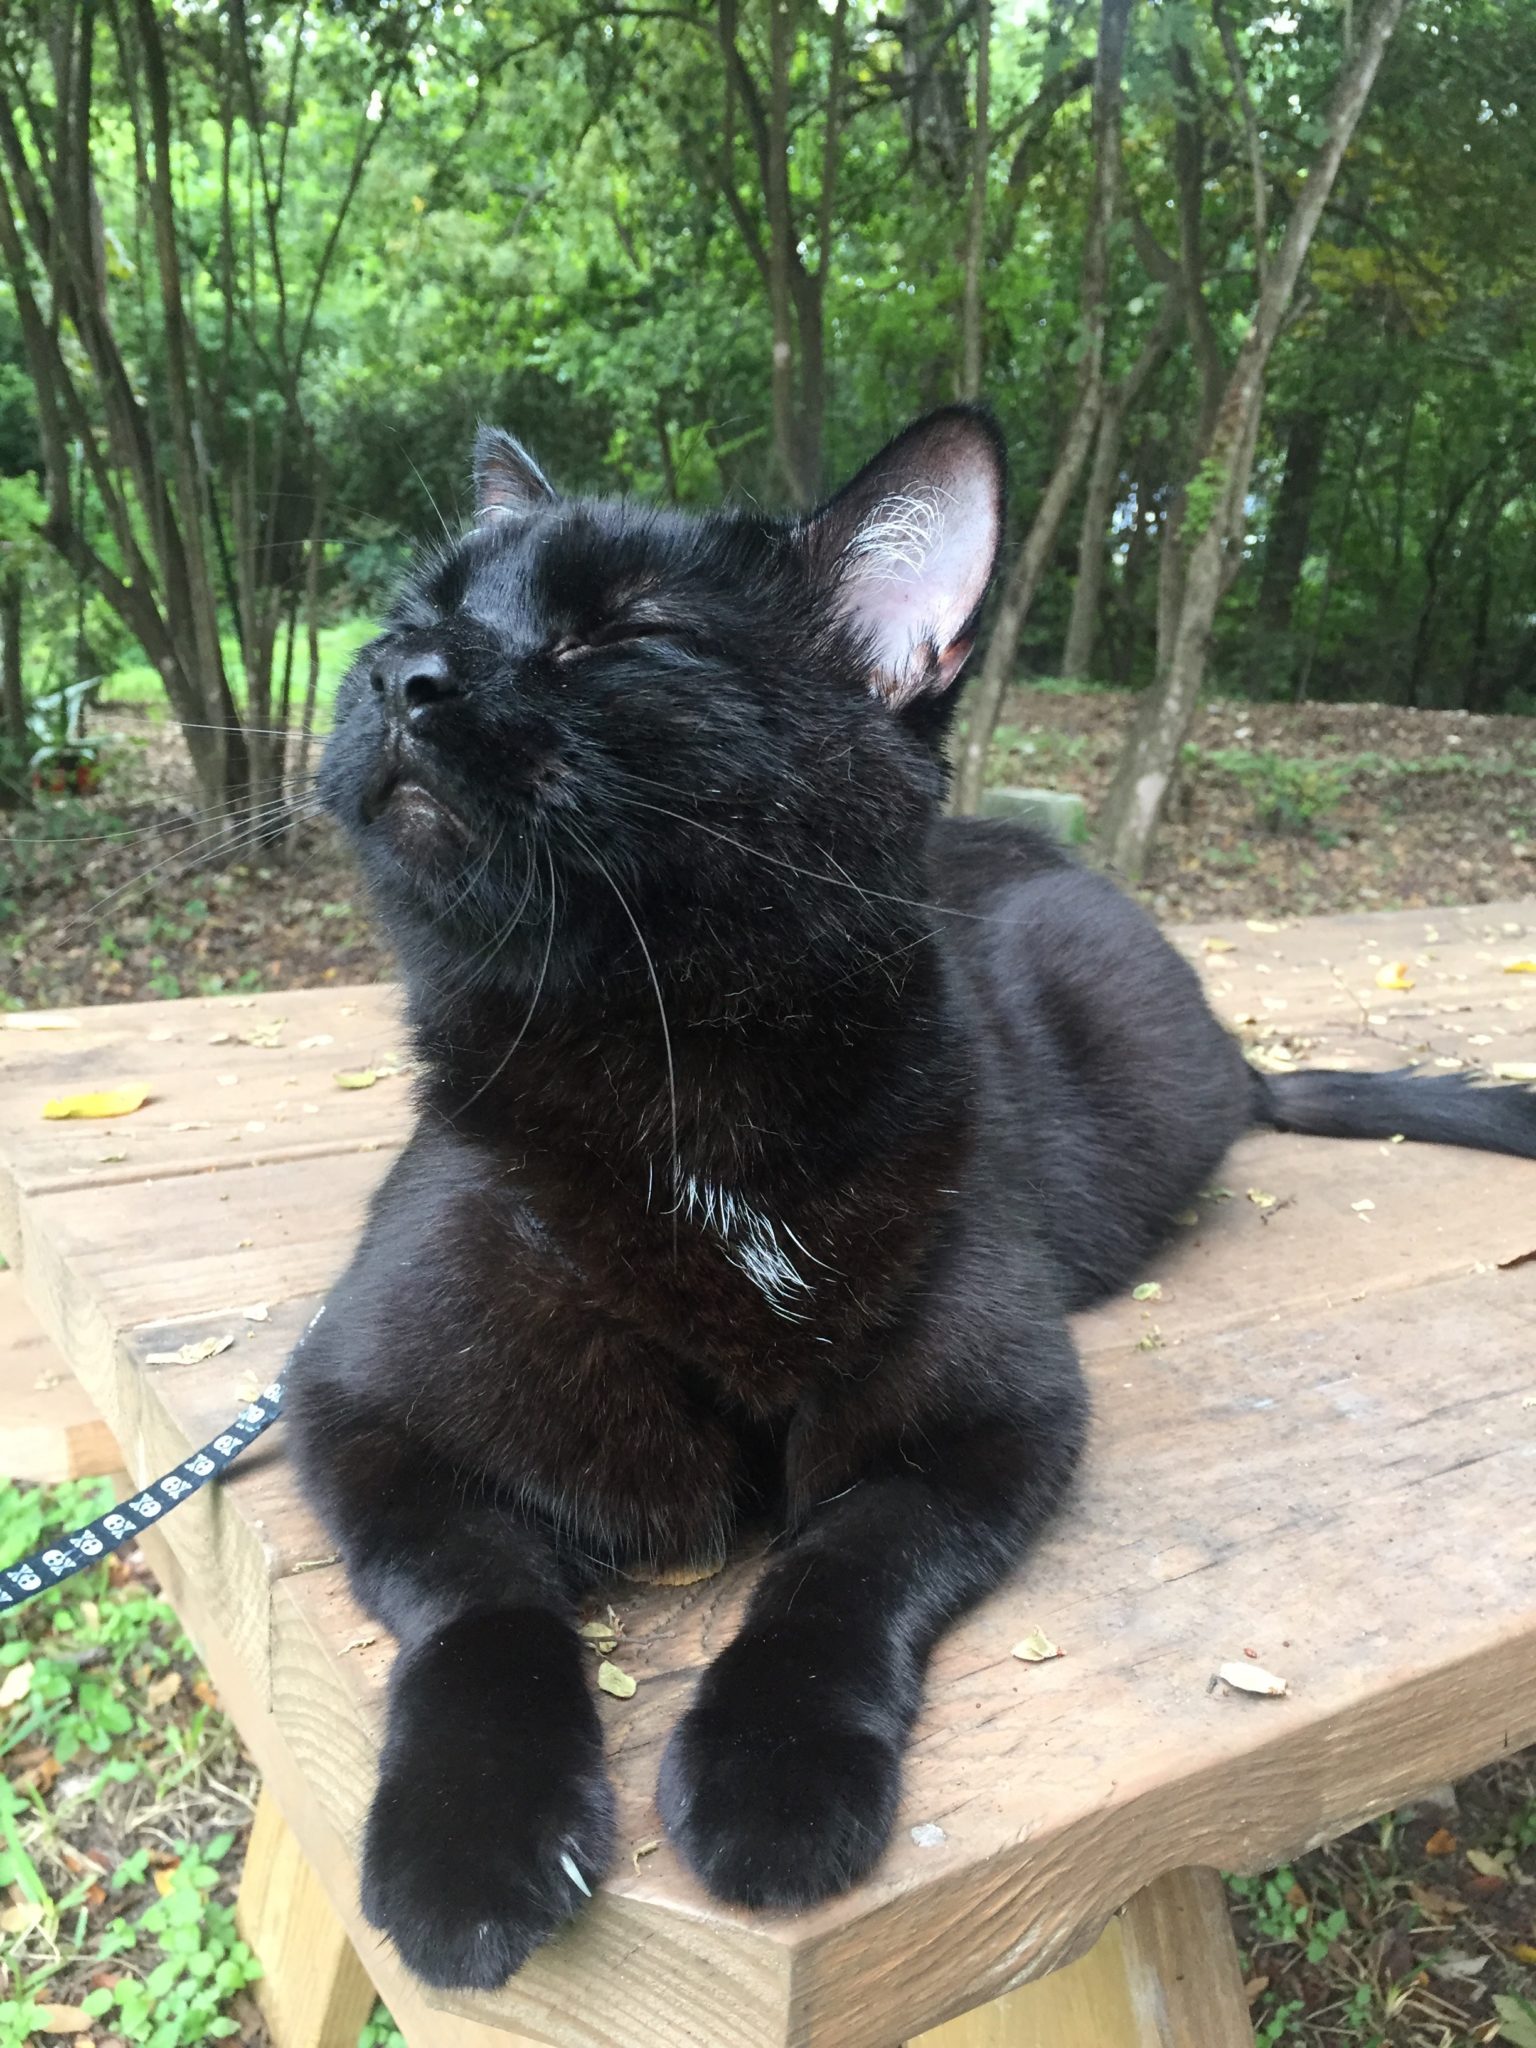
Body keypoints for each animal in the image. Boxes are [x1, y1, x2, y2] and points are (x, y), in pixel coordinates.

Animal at [290, 407, 1536, 1990]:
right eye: (416, 610)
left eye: (623, 632)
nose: (400, 670)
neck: (681, 1079)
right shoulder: (353, 1402)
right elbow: (478, 1599)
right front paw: (472, 1834)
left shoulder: (991, 1415)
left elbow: (840, 1570)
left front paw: (773, 1776)